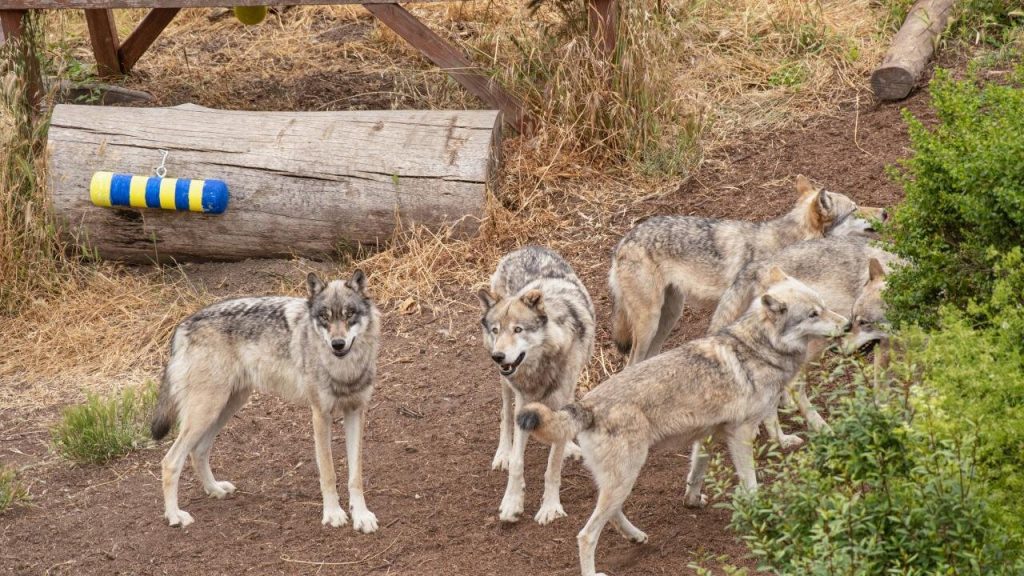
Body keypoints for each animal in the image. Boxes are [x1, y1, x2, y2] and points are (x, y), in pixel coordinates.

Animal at [155, 268, 385, 528]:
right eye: (324, 317)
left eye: (350, 314)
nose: (338, 344)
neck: (344, 370)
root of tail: (181, 327)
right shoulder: (320, 415)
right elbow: (328, 473)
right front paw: (333, 514)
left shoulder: (355, 411)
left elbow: (356, 476)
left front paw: (362, 516)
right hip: (207, 412)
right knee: (170, 461)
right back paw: (174, 515)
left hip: (225, 408)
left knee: (198, 452)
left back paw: (214, 489)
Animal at [481, 243, 598, 522]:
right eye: (495, 330)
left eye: (518, 329)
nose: (498, 356)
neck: (539, 368)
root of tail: (527, 247)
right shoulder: (523, 404)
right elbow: (517, 462)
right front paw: (512, 502)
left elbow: (552, 468)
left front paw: (550, 507)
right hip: (505, 387)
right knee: (505, 415)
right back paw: (502, 453)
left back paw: (569, 447)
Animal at [520, 270, 847, 573]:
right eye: (813, 314)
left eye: (823, 306)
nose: (846, 323)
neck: (759, 348)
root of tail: (585, 405)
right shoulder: (741, 433)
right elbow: (751, 482)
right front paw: (760, 513)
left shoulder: (710, 435)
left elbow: (696, 471)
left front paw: (692, 500)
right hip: (625, 477)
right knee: (586, 535)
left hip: (619, 481)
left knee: (611, 515)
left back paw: (636, 536)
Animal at [708, 235, 901, 446]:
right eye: (856, 319)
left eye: (864, 323)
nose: (837, 348)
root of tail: (762, 264)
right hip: (816, 346)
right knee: (794, 388)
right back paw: (818, 427)